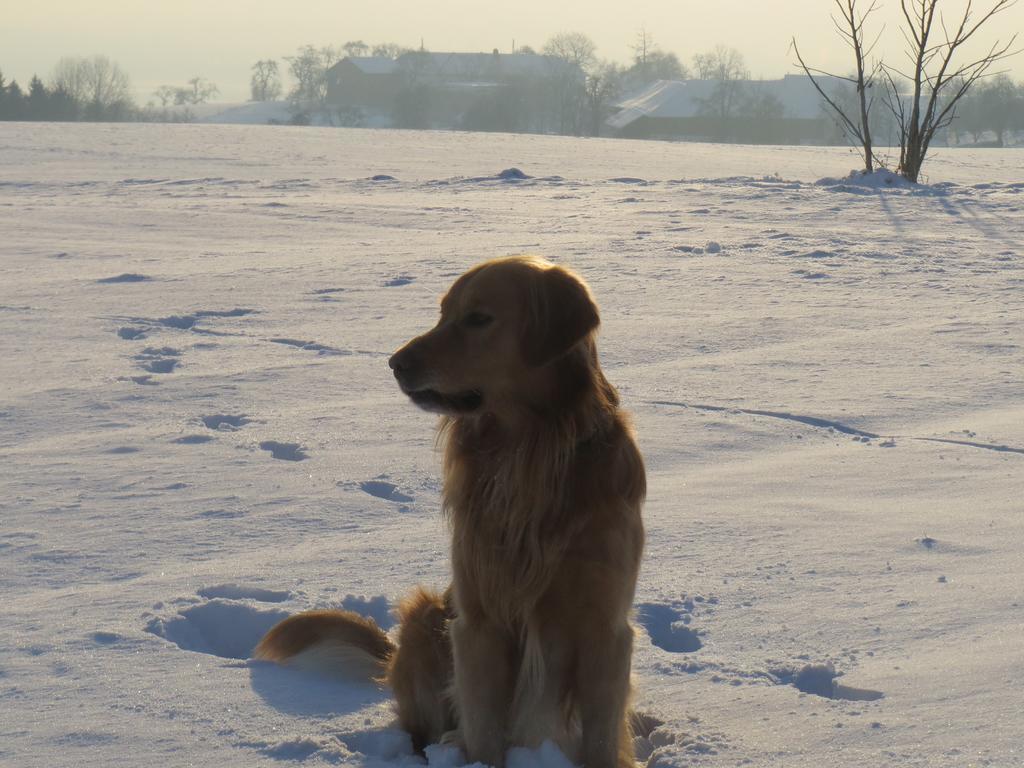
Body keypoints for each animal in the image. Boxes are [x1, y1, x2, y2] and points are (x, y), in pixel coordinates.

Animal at [256, 256, 643, 765]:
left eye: (477, 318)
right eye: (442, 314)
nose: (395, 363)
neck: (528, 453)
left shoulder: (605, 627)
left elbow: (601, 738)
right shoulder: (478, 620)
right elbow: (484, 730)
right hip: (426, 619)